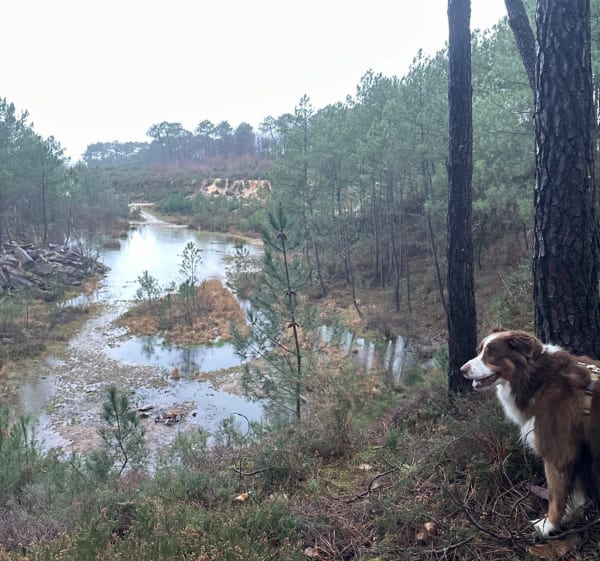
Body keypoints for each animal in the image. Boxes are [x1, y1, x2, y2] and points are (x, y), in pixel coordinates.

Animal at [461, 329, 600, 537]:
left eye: (491, 353)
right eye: (480, 350)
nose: (462, 370)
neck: (539, 379)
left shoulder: (557, 453)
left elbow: (555, 495)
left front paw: (548, 525)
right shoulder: (577, 451)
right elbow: (574, 494)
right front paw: (569, 517)